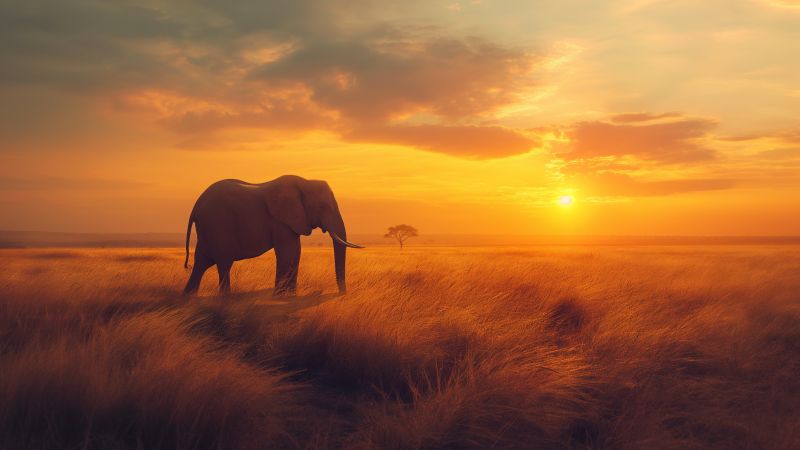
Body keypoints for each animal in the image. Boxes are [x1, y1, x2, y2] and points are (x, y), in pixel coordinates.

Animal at [182, 175, 363, 296]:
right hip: (218, 226)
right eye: (321, 206)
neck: (304, 182)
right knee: (224, 263)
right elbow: (287, 252)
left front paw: (290, 296)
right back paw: (226, 298)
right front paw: (281, 296)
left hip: (207, 230)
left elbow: (296, 253)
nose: (342, 294)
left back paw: (188, 296)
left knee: (202, 262)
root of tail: (196, 206)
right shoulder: (280, 221)